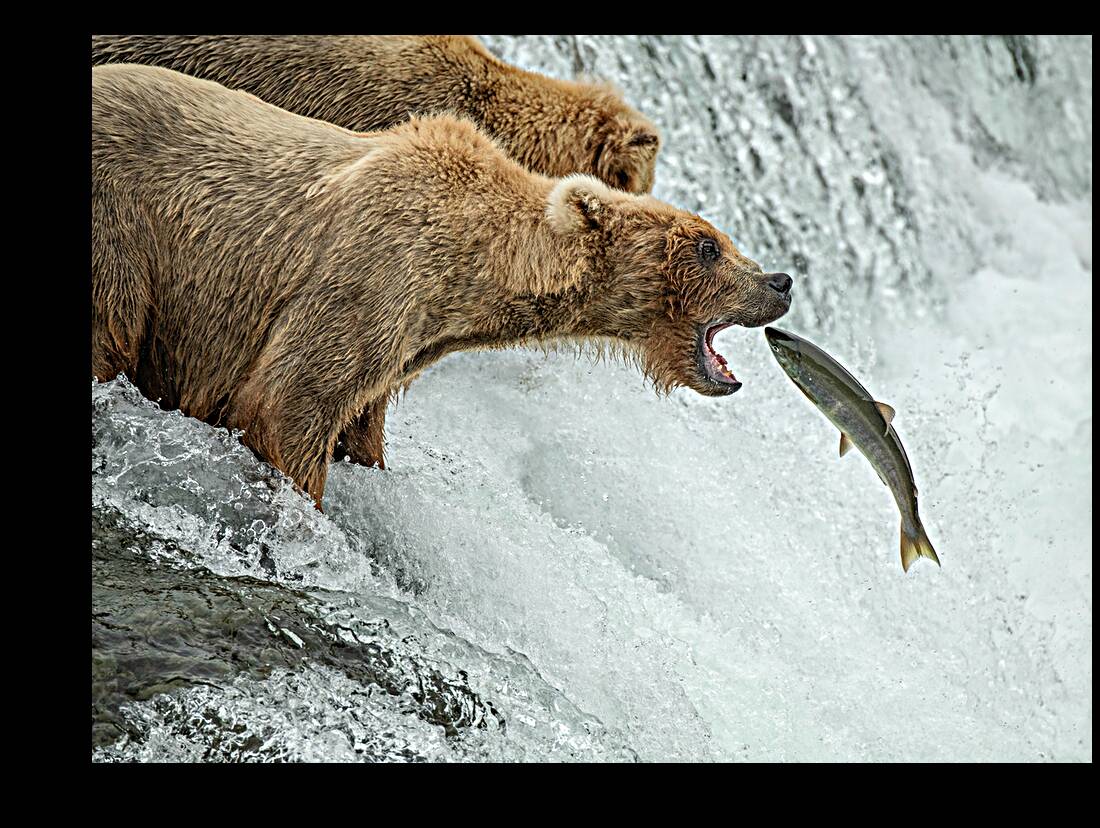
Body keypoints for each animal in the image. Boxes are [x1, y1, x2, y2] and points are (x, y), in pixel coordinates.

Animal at [92, 65, 793, 508]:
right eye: (708, 246)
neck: (470, 272)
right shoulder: (370, 276)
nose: (780, 281)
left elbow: (358, 422)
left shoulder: (405, 341)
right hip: (120, 234)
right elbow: (287, 403)